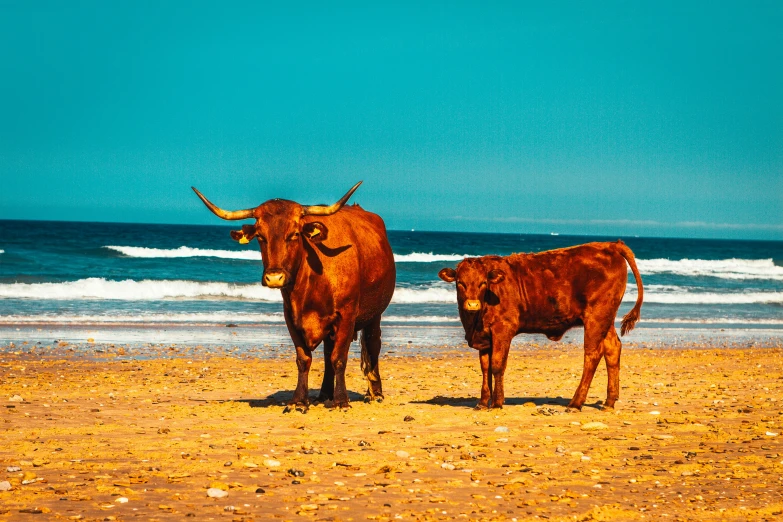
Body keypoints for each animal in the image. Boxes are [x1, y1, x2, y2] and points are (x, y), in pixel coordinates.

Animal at [193, 181, 396, 408]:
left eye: (294, 235)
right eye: (260, 237)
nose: (274, 277)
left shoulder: (347, 316)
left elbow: (339, 358)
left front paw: (342, 400)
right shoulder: (291, 317)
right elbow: (304, 359)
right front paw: (299, 401)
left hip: (374, 315)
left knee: (372, 346)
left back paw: (374, 393)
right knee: (328, 354)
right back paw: (325, 394)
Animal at [440, 240, 644, 410]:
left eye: (483, 283)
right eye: (460, 283)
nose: (472, 304)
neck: (474, 323)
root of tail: (610, 244)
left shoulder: (502, 330)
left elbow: (497, 365)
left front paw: (497, 402)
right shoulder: (484, 337)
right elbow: (485, 368)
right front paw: (482, 402)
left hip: (596, 316)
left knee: (592, 354)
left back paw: (575, 403)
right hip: (605, 319)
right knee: (612, 348)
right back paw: (609, 401)